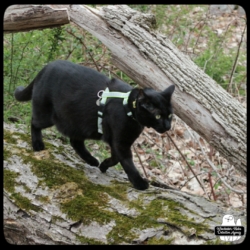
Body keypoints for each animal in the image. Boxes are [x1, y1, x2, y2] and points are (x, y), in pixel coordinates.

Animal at [13, 60, 175, 189]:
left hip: (76, 122)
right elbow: (127, 162)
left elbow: (116, 159)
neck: (128, 107)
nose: (168, 126)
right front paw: (139, 183)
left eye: (170, 116)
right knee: (34, 122)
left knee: (75, 141)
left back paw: (92, 160)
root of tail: (45, 67)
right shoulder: (120, 142)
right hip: (48, 115)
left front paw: (103, 165)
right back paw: (37, 145)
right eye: (158, 116)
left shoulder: (117, 142)